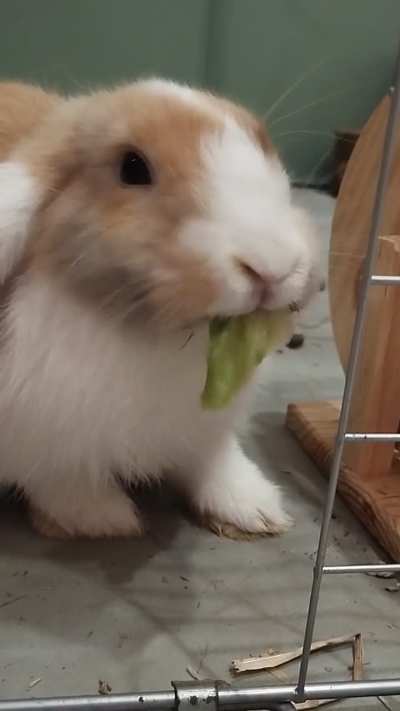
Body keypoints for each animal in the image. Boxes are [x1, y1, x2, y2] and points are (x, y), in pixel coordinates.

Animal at [0, 79, 320, 539]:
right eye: (132, 168)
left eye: (263, 142)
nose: (272, 266)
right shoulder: (41, 440)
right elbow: (61, 479)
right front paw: (101, 518)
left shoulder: (204, 430)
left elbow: (214, 461)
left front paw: (253, 509)